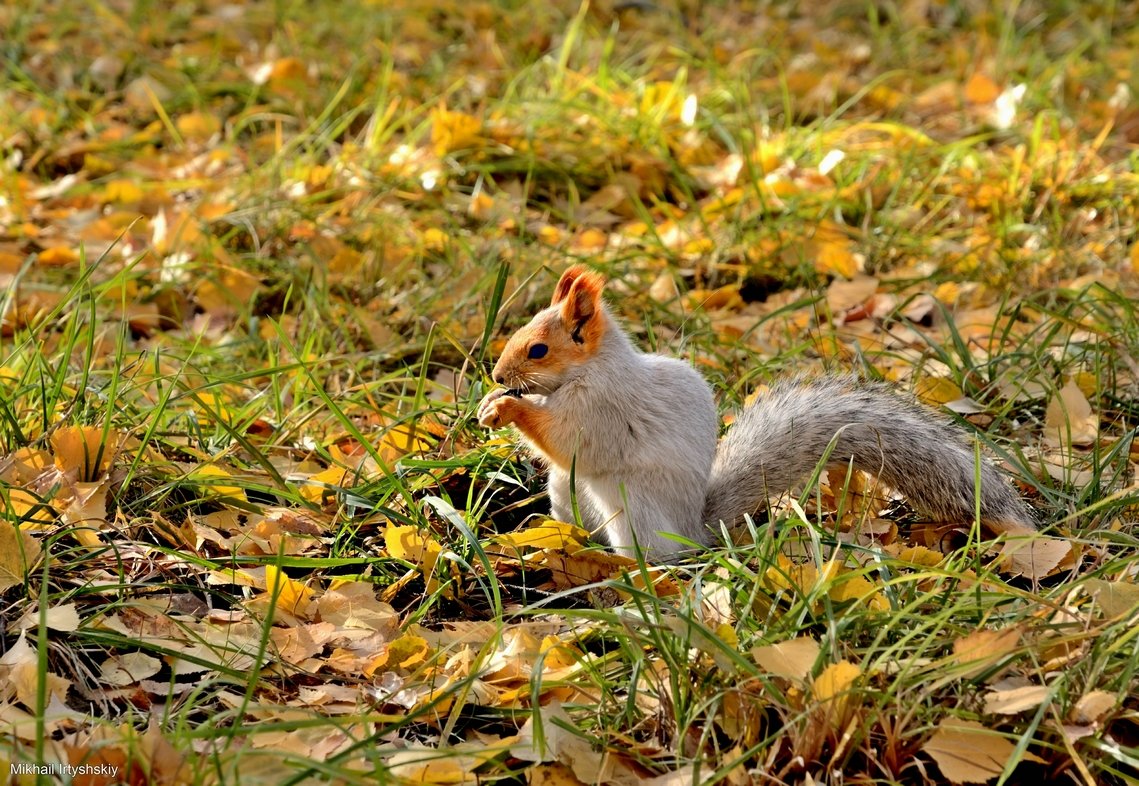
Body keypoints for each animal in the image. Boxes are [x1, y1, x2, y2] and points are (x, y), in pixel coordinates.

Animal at [476, 266, 1038, 553]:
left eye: (539, 350)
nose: (498, 376)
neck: (588, 370)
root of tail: (694, 530)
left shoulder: (604, 407)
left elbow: (571, 441)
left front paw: (507, 411)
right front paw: (490, 403)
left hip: (635, 509)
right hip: (567, 494)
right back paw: (564, 542)